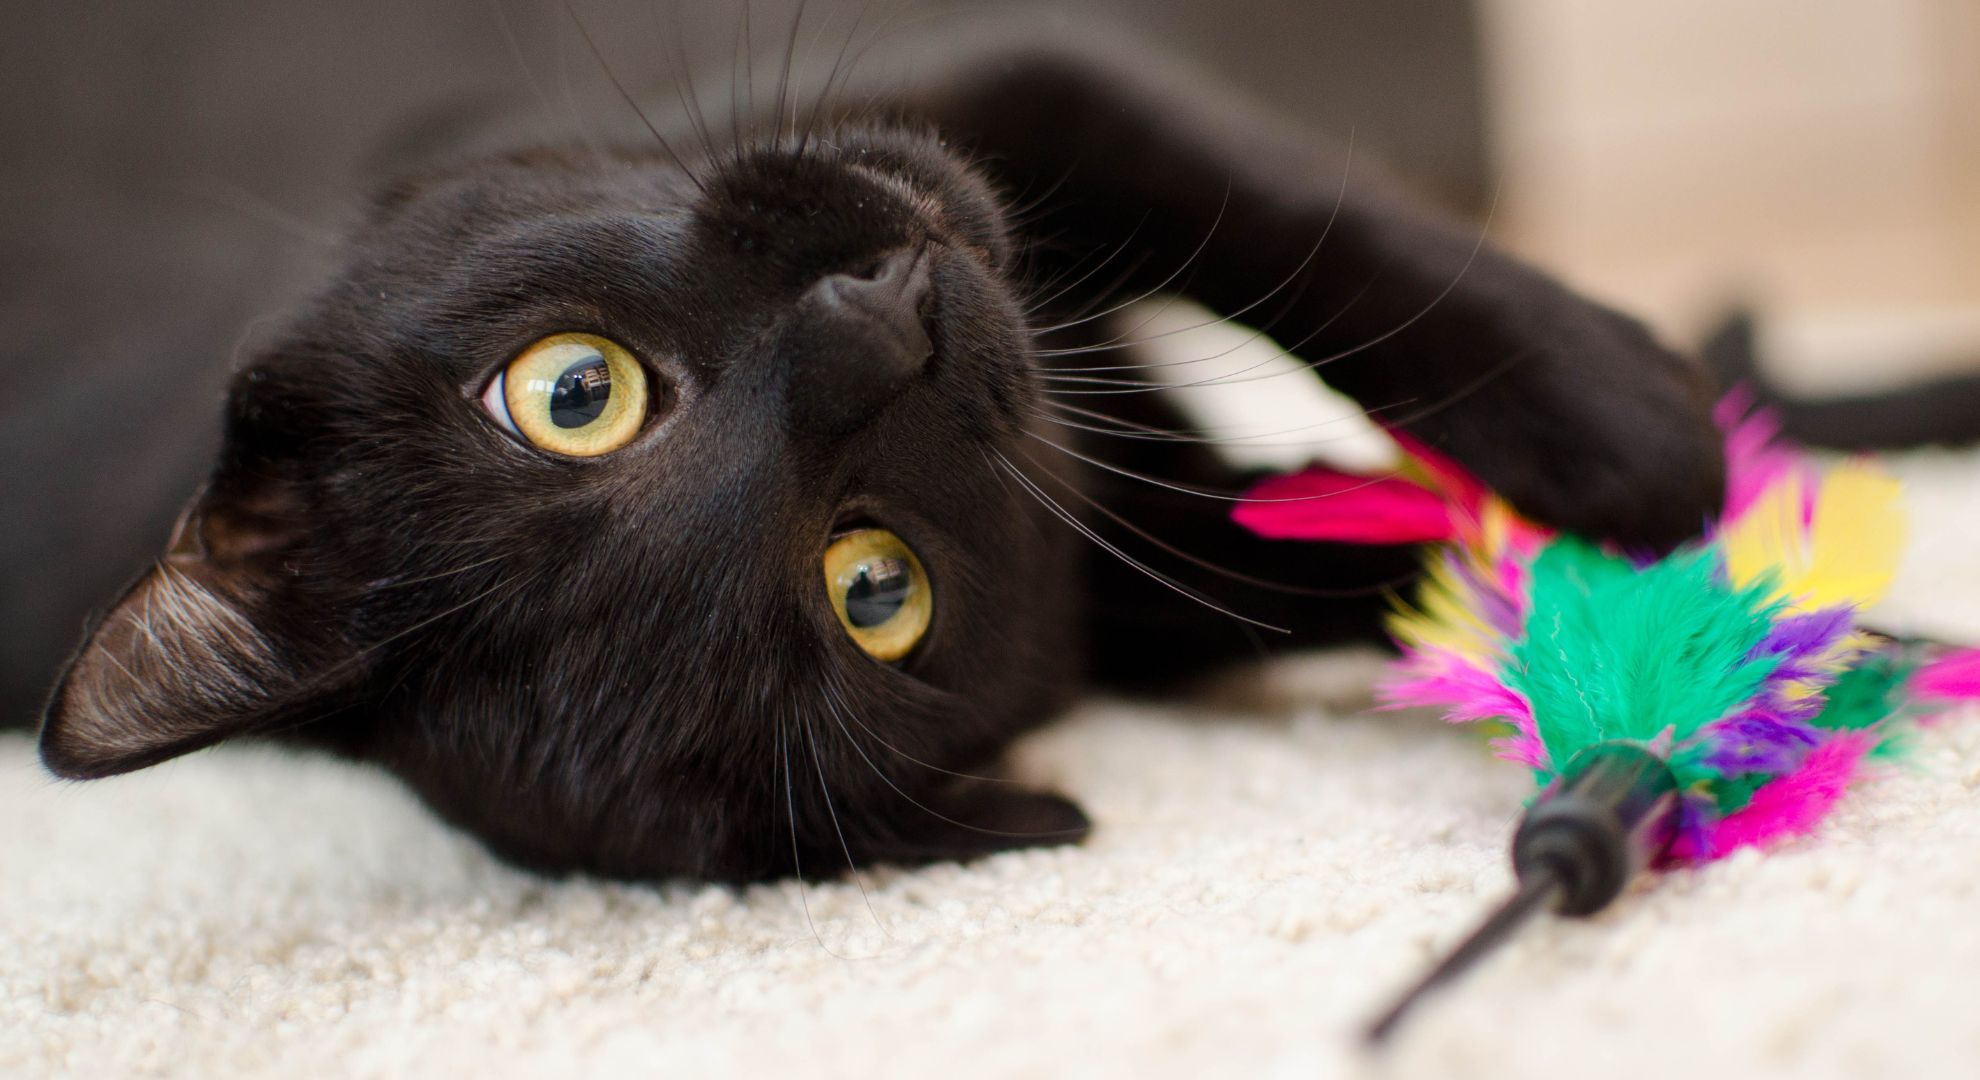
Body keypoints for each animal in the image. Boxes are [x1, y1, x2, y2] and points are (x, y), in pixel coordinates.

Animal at [19, 33, 1718, 879]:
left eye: (573, 392)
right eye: (872, 588)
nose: (883, 328)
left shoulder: (1011, 76)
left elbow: (1287, 215)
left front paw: (1635, 430)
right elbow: (1346, 551)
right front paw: (1671, 588)